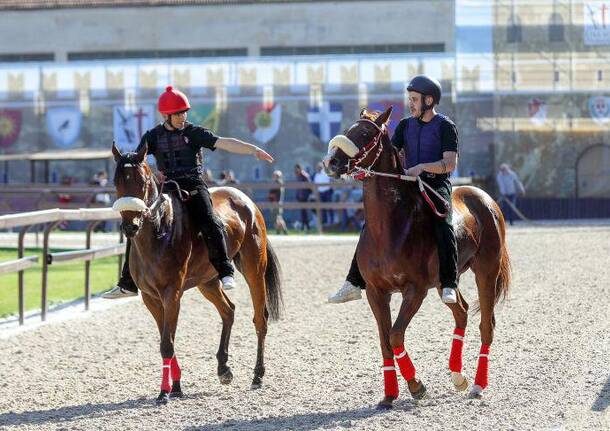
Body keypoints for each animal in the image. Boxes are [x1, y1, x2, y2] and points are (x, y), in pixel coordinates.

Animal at [111, 143, 282, 406]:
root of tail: (247, 202)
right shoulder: (151, 298)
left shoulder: (172, 294)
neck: (160, 230)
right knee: (228, 311)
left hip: (254, 269)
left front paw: (164, 391)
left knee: (259, 319)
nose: (131, 226)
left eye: (142, 181)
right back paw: (224, 369)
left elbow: (167, 343)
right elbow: (166, 339)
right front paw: (176, 386)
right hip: (208, 282)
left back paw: (258, 375)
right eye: (117, 181)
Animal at [324, 108, 508, 408]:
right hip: (447, 280)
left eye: (365, 133)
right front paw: (389, 394)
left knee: (485, 325)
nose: (331, 161)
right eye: (348, 128)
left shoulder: (415, 290)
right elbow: (385, 341)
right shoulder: (376, 292)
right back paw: (458, 376)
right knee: (461, 312)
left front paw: (416, 386)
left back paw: (478, 385)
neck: (392, 227)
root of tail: (483, 197)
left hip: (486, 271)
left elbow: (396, 335)